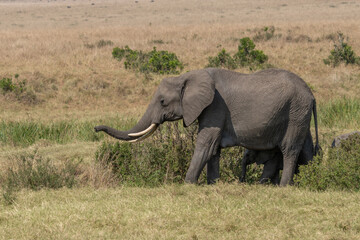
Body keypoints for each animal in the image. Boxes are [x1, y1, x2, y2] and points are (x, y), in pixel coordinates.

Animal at [94, 67, 320, 186]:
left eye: (162, 102)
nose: (96, 128)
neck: (188, 76)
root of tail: (311, 95)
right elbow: (214, 150)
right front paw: (213, 184)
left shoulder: (215, 107)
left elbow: (205, 145)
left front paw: (187, 184)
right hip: (299, 115)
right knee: (306, 150)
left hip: (295, 112)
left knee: (289, 149)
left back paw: (284, 186)